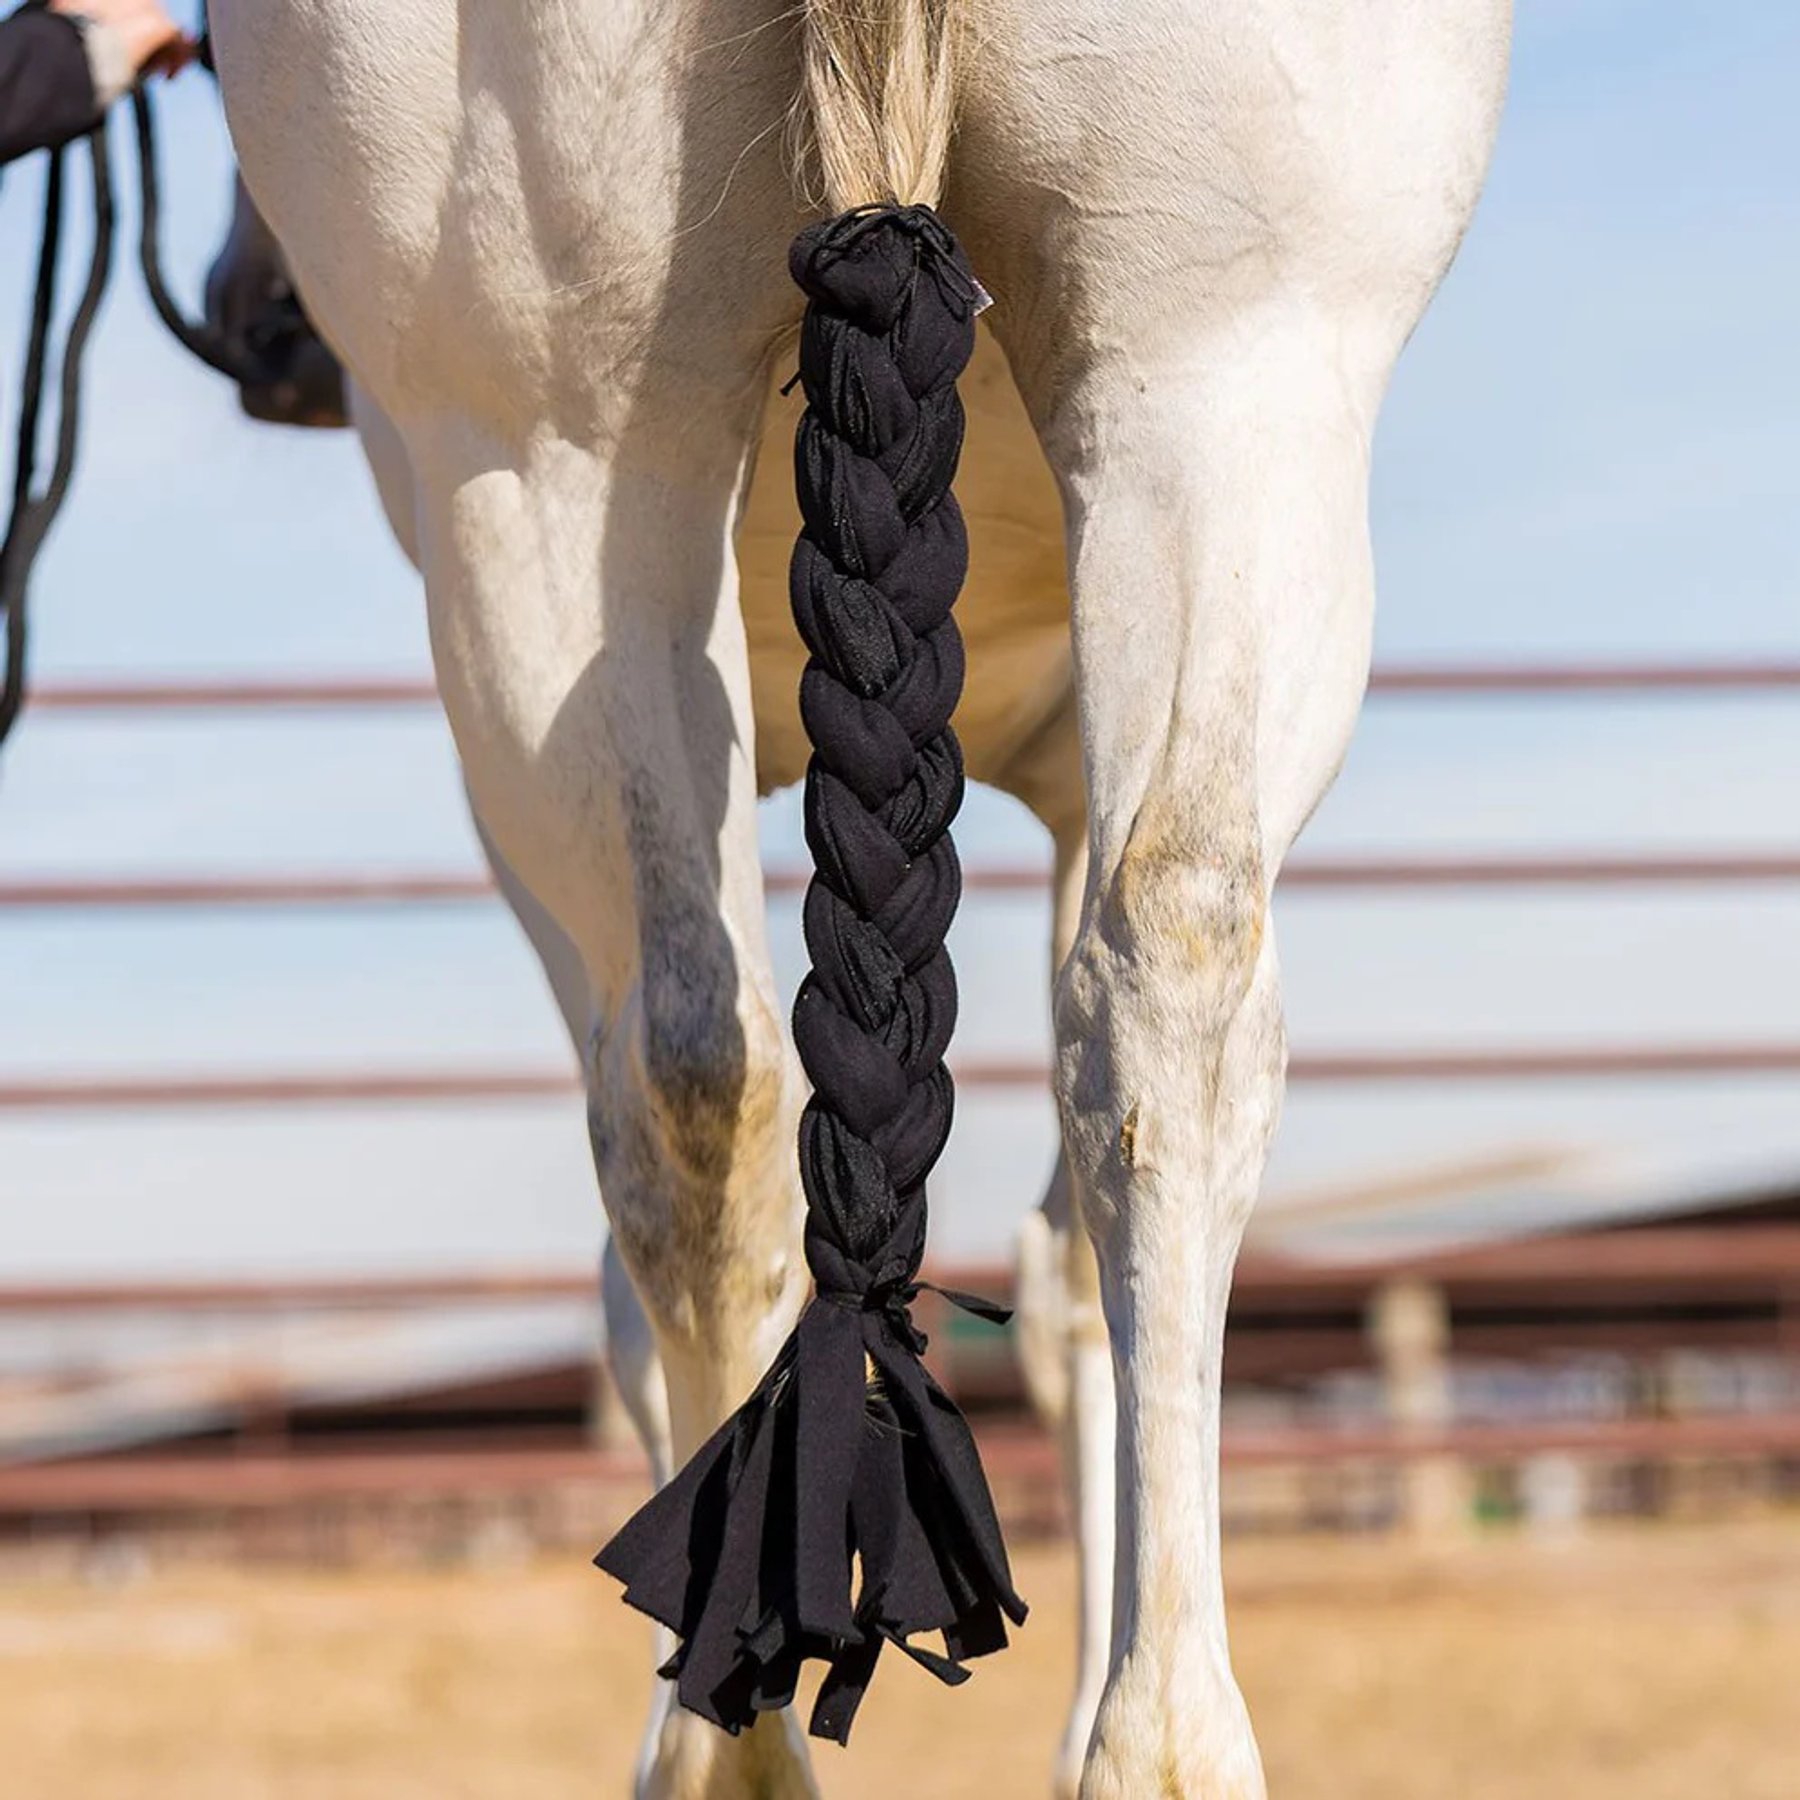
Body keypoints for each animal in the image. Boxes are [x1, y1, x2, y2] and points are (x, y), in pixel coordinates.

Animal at [205, 3, 1512, 1794]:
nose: (257, 322)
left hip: (551, 469)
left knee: (702, 1083)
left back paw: (743, 1741)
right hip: (1222, 363)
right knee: (1160, 969)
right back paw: (1154, 1741)